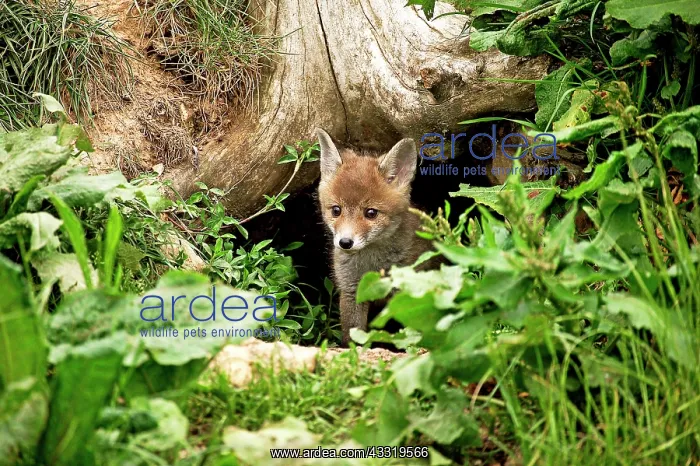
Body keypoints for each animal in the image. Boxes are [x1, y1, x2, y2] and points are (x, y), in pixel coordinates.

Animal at [315, 128, 434, 346]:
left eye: (371, 213)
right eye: (336, 210)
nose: (345, 243)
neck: (373, 265)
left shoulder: (407, 291)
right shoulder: (351, 291)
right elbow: (353, 336)